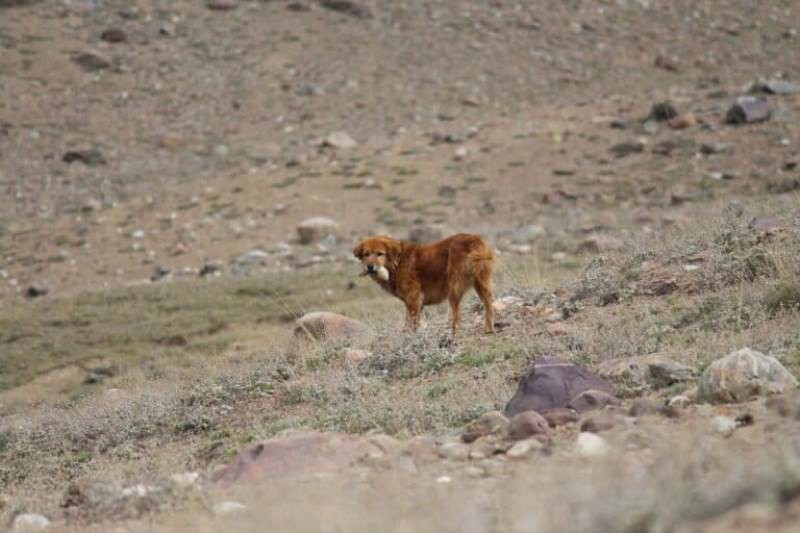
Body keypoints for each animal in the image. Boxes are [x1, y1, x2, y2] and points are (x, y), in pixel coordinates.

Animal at [353, 233, 495, 336]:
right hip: (481, 283)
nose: (370, 267)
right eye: (366, 254)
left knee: (456, 313)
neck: (397, 261)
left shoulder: (413, 297)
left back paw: (453, 334)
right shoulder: (412, 301)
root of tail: (474, 239)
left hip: (454, 286)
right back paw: (489, 329)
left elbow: (413, 320)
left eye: (380, 254)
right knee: (488, 302)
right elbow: (408, 319)